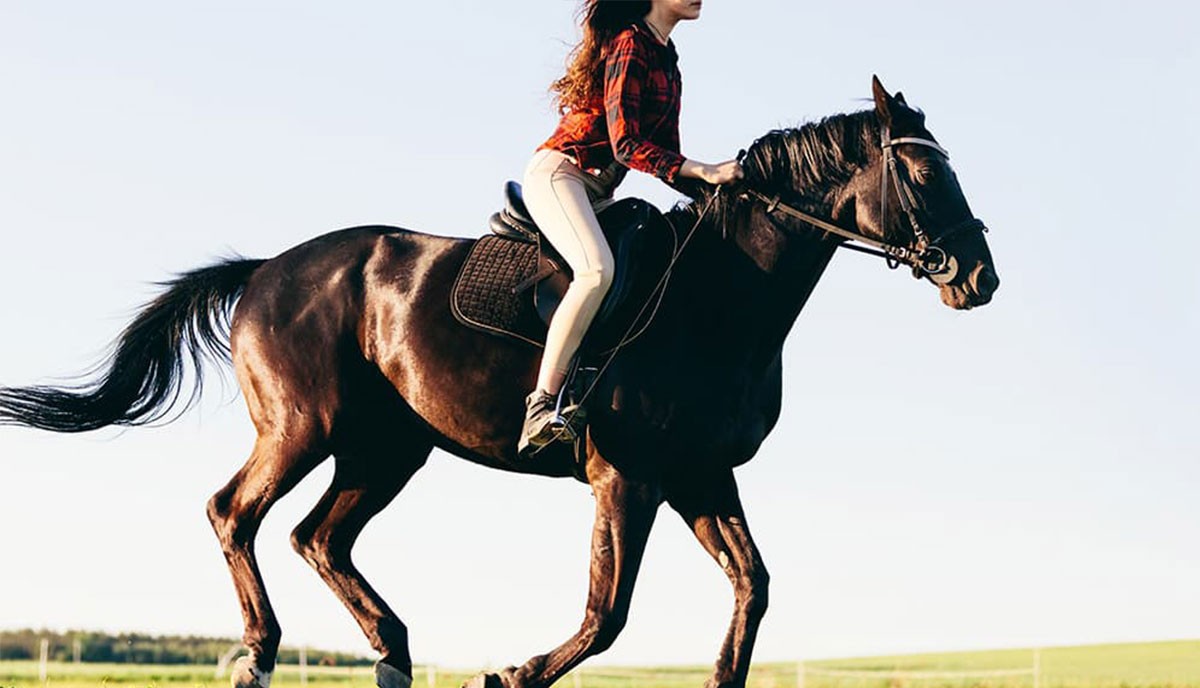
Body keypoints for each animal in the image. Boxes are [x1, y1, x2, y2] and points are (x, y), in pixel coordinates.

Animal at [0, 78, 998, 688]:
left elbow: (753, 587)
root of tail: (265, 270)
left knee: (319, 537)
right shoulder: (627, 477)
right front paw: (509, 672)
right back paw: (258, 653)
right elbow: (608, 612)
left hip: (388, 448)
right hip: (301, 427)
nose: (979, 276)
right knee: (234, 513)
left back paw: (394, 655)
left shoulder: (700, 475)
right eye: (920, 169)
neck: (723, 294)